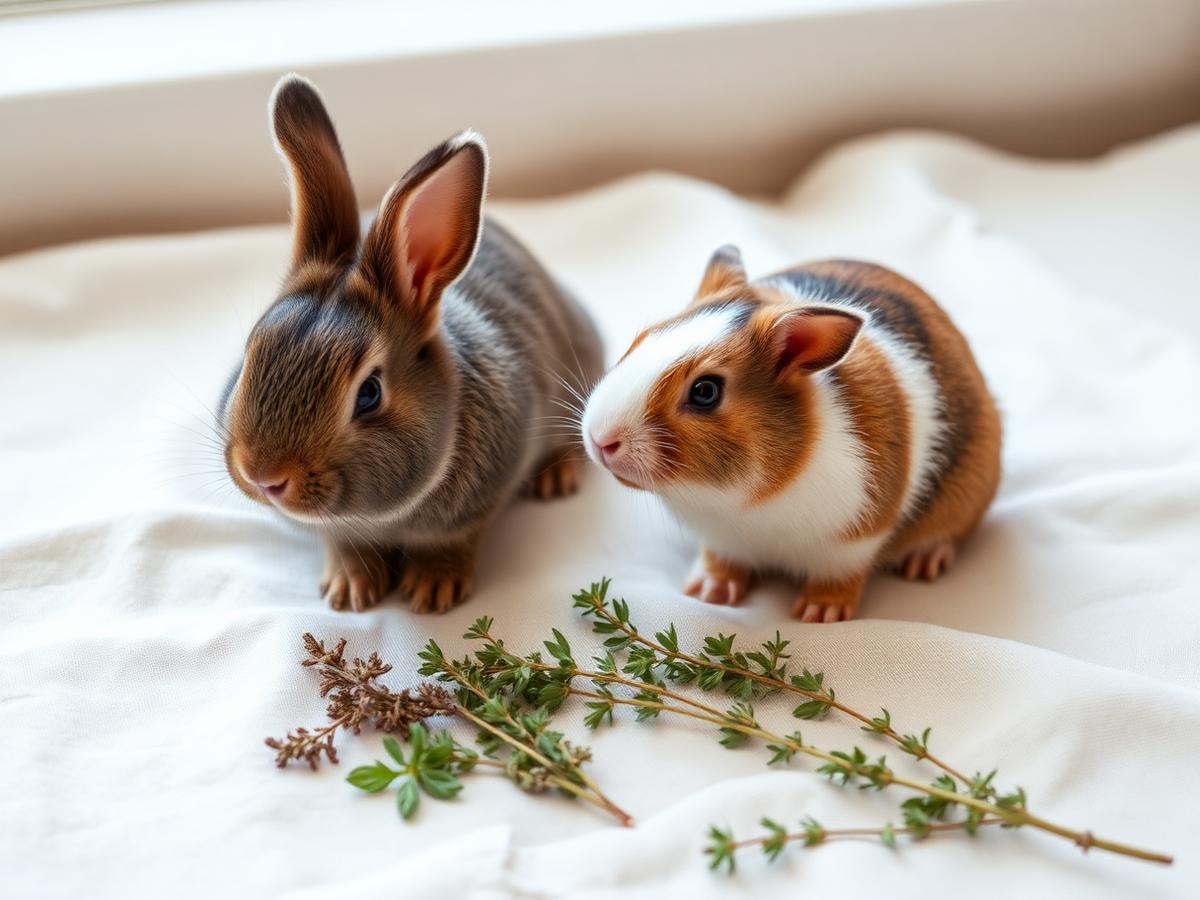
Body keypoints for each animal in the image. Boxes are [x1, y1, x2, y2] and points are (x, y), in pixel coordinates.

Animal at [219, 75, 602, 613]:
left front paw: (432, 589)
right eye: (253, 350)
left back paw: (555, 476)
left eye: (369, 393)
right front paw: (350, 589)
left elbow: (455, 539)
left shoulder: (480, 501)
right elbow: (341, 543)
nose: (263, 476)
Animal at [580, 246, 1001, 622]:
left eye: (705, 391)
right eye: (641, 340)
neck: (744, 499)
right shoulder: (721, 540)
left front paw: (820, 612)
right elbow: (720, 561)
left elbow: (839, 575)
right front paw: (709, 592)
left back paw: (925, 560)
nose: (601, 440)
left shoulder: (853, 542)